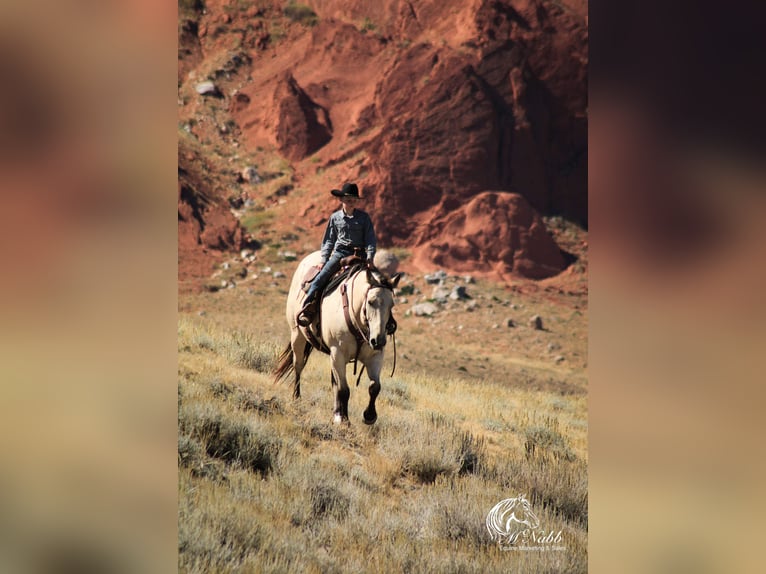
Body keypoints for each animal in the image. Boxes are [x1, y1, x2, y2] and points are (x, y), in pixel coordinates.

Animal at [272, 250, 402, 426]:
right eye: (370, 301)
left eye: (391, 305)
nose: (379, 340)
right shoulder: (338, 354)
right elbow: (344, 389)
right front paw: (344, 420)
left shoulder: (375, 356)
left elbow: (374, 387)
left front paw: (368, 416)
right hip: (297, 335)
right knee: (298, 365)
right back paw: (297, 397)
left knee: (333, 380)